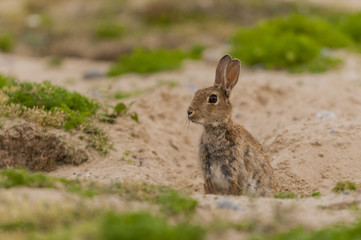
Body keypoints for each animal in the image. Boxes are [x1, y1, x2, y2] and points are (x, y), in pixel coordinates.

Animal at [186, 54, 276, 197]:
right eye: (196, 93)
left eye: (213, 98)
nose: (189, 112)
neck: (216, 129)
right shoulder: (208, 175)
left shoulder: (236, 173)